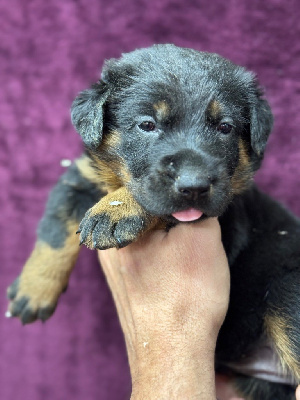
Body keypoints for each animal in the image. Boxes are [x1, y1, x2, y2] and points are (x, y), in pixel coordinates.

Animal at [6, 44, 300, 400]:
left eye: (225, 127)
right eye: (147, 124)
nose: (194, 185)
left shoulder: (224, 217)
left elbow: (150, 198)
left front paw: (116, 210)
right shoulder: (80, 177)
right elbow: (53, 230)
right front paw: (33, 291)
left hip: (287, 290)